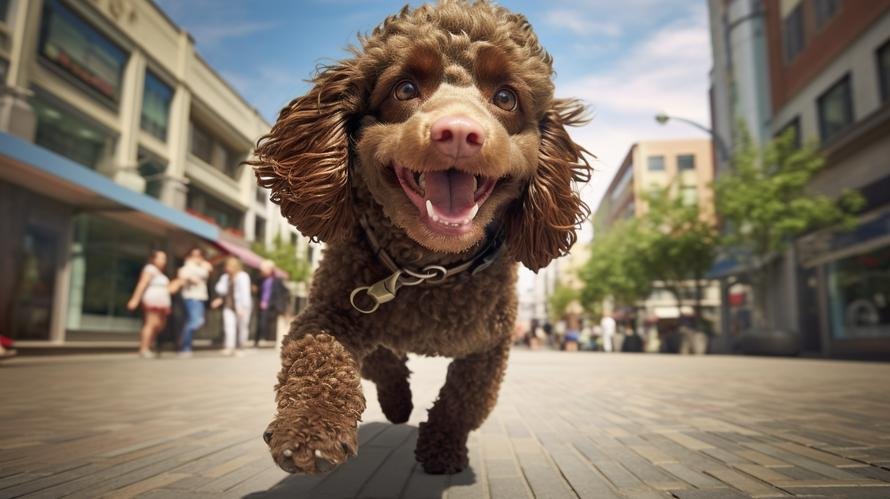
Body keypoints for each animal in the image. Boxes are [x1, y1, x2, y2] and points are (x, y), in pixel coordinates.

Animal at [248, 0, 588, 476]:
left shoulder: (490, 345)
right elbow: (319, 358)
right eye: (405, 88)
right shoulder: (332, 310)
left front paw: (442, 449)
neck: (428, 270)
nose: (460, 133)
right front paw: (310, 429)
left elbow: (464, 401)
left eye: (506, 97)